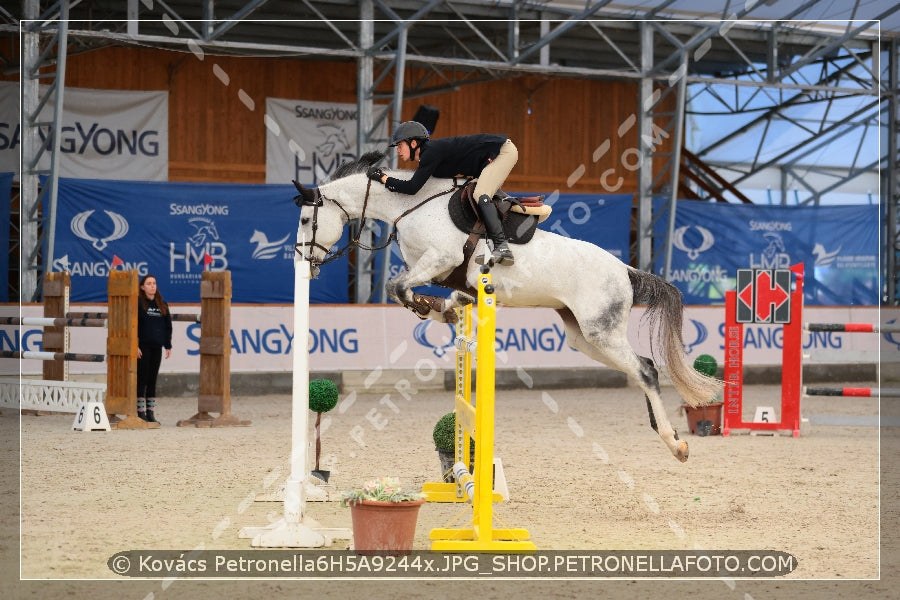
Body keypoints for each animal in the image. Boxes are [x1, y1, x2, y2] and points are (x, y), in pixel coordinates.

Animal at [292, 152, 720, 462]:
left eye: (306, 218)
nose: (303, 261)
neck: (410, 205)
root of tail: (625, 270)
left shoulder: (441, 258)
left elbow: (398, 287)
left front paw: (433, 308)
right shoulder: (439, 270)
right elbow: (410, 289)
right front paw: (444, 308)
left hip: (602, 331)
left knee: (646, 370)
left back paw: (676, 444)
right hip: (584, 337)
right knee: (639, 370)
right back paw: (669, 434)